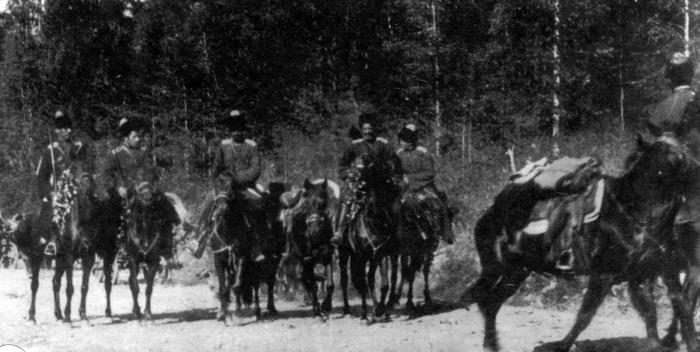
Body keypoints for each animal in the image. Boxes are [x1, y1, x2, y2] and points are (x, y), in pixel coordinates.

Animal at [208, 172, 284, 324]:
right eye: (216, 185)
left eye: (232, 187)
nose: (221, 209)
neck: (229, 231)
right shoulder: (219, 259)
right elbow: (223, 288)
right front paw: (222, 313)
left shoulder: (244, 257)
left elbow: (238, 286)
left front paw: (237, 314)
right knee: (252, 284)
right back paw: (251, 310)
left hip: (273, 260)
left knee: (269, 282)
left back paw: (270, 309)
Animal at [284, 179, 340, 320]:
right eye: (307, 204)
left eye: (324, 204)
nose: (315, 230)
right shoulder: (307, 261)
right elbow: (313, 285)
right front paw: (317, 311)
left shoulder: (327, 257)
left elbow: (330, 284)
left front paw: (326, 306)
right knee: (305, 280)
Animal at [338, 154, 400, 322]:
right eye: (354, 168)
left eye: (371, 167)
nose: (354, 182)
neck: (375, 221)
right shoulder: (362, 255)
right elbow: (364, 281)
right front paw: (369, 312)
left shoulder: (382, 254)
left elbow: (383, 284)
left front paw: (381, 309)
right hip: (345, 254)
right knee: (347, 280)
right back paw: (352, 311)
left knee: (368, 280)